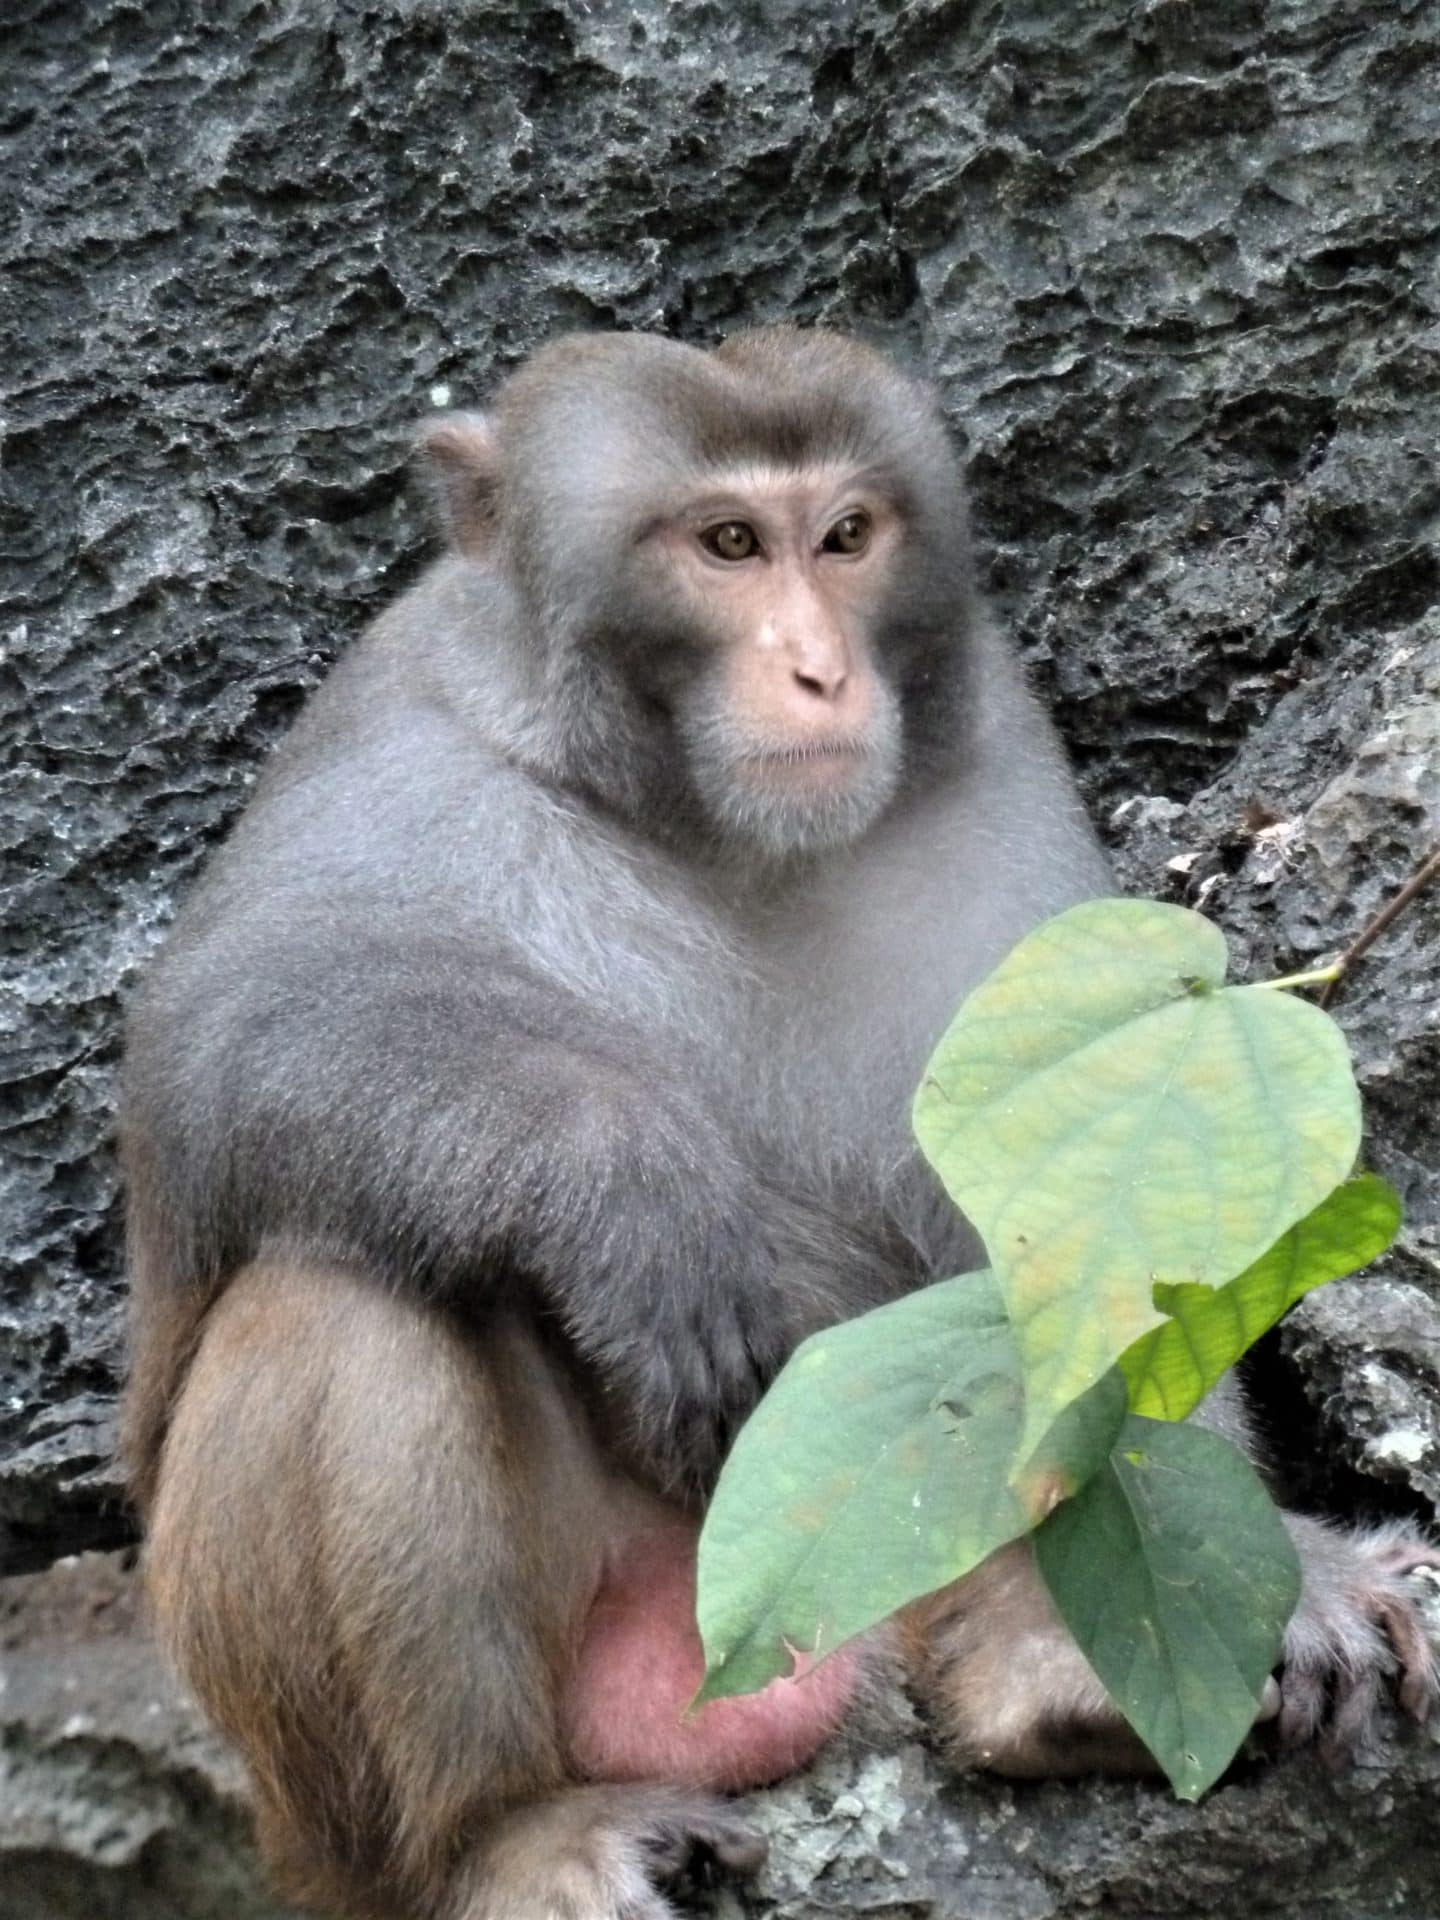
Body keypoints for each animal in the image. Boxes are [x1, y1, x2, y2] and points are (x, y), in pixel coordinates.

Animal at [122, 328, 1440, 1920]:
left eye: (848, 536)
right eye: (730, 545)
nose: (820, 670)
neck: (710, 825)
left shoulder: (988, 750)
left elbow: (1072, 1193)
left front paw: (1264, 1567)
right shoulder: (396, 726)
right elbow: (224, 1040)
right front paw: (629, 1186)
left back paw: (1044, 1674)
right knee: (333, 1292)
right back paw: (498, 1836)